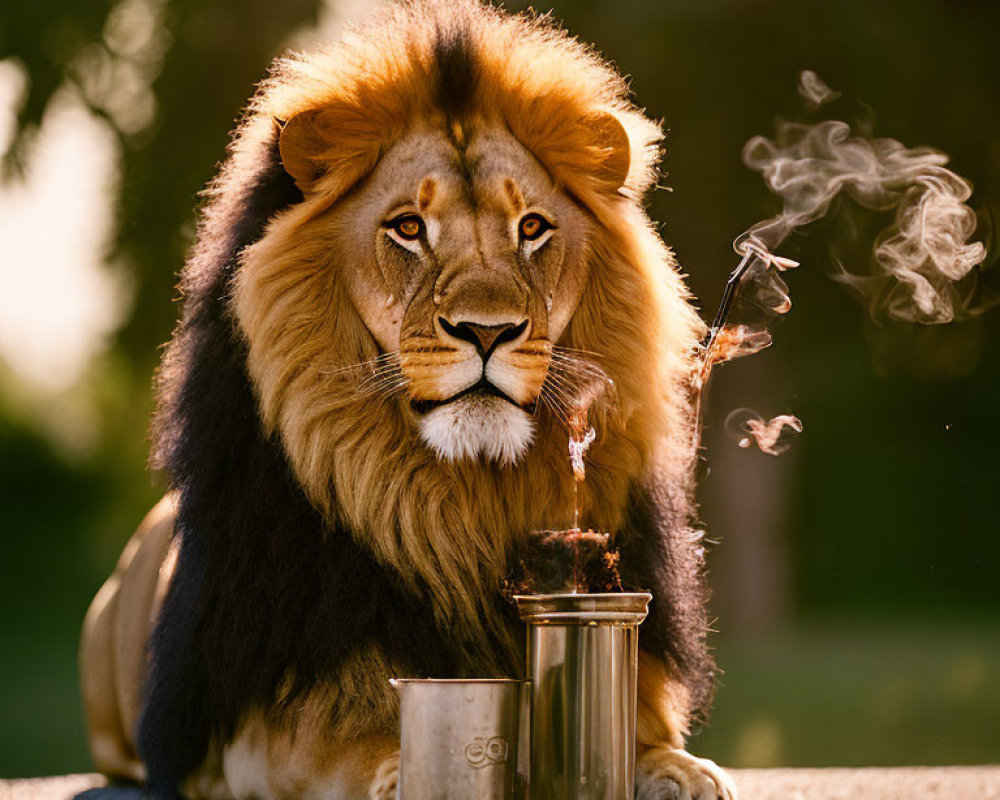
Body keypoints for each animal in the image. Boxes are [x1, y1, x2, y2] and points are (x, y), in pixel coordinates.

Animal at [80, 0, 736, 796]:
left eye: (532, 227)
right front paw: (408, 764)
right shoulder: (263, 718)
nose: (488, 330)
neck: (463, 507)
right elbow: (348, 738)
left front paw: (677, 767)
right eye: (408, 228)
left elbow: (642, 724)